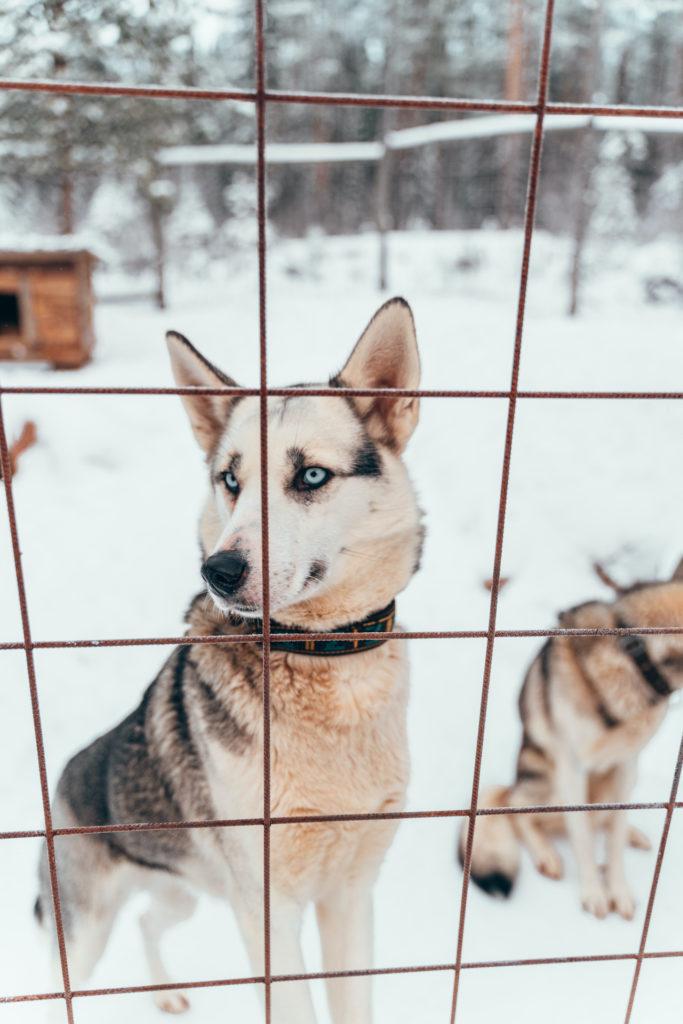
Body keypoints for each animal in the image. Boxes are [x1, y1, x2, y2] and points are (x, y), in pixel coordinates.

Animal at [37, 299, 423, 1024]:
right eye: (231, 481)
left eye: (310, 476)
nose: (217, 570)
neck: (324, 661)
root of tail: (64, 780)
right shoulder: (269, 917)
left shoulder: (350, 896)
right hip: (87, 930)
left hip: (182, 894)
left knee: (149, 922)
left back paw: (166, 992)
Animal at [458, 561, 683, 921]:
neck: (636, 658)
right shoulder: (572, 769)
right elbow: (583, 839)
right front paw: (594, 892)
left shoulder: (626, 767)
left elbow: (613, 839)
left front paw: (618, 890)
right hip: (547, 782)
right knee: (518, 809)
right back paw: (546, 853)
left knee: (604, 821)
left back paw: (631, 833)